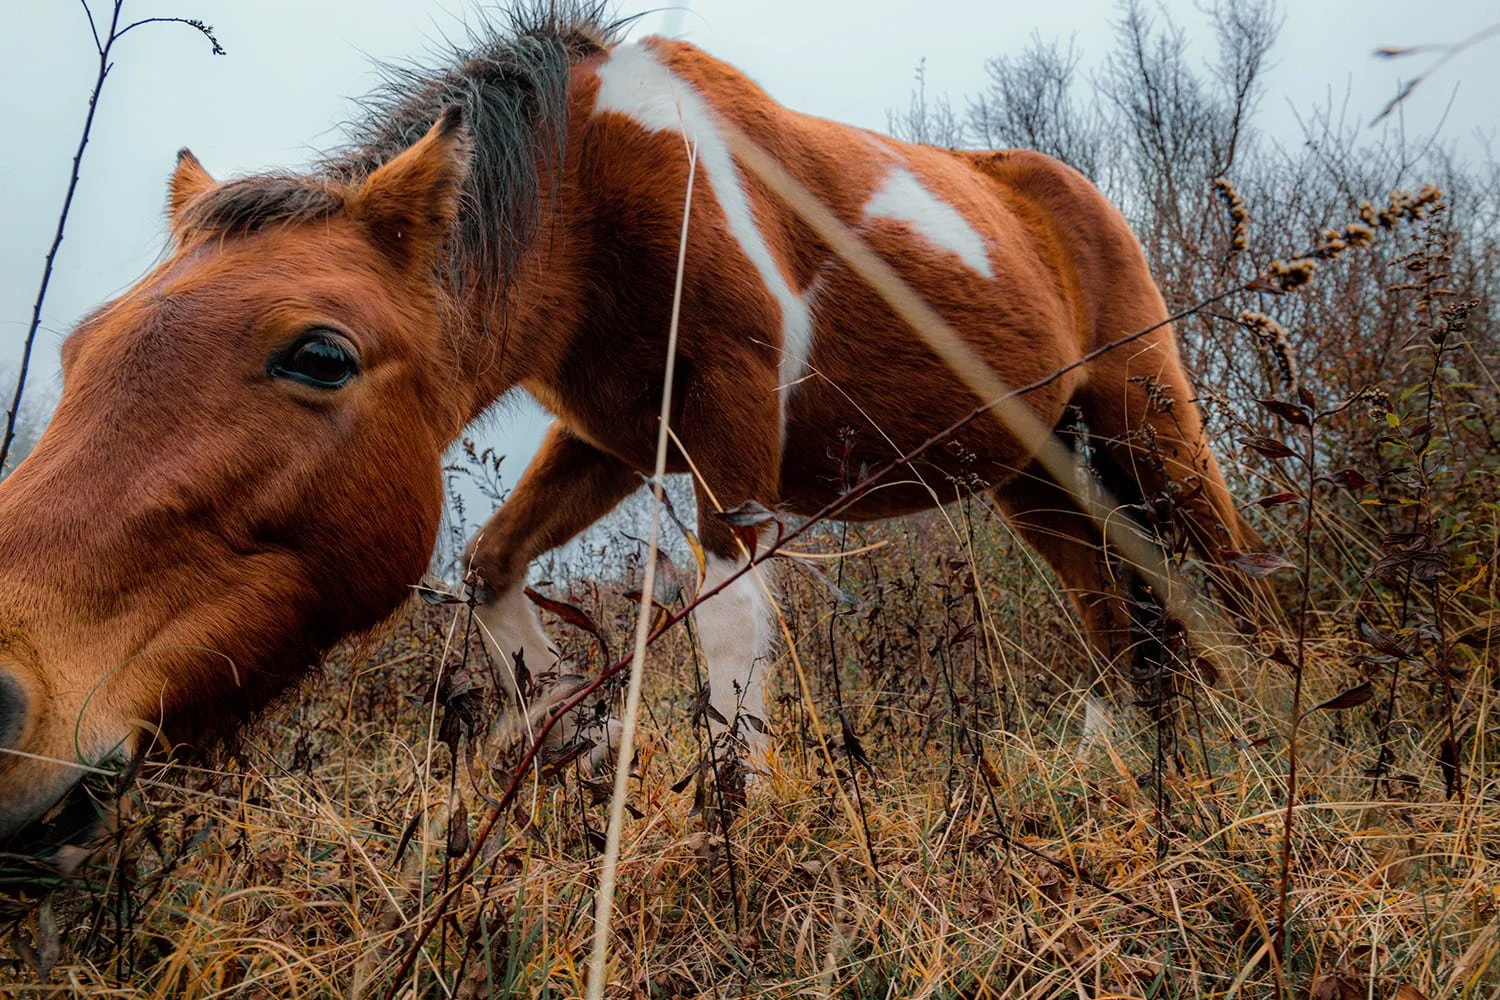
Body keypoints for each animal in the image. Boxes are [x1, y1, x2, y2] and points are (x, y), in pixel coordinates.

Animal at [0, 2, 1266, 843]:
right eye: (79, 346)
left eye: (319, 354)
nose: (17, 697)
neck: (606, 182)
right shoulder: (612, 438)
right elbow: (490, 565)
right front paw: (578, 733)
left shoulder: (732, 431)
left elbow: (729, 631)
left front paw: (735, 834)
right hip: (1034, 475)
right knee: (1118, 615)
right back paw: (1144, 763)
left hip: (1148, 427)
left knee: (1227, 585)